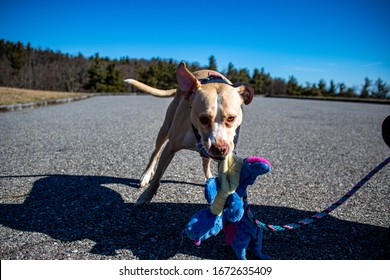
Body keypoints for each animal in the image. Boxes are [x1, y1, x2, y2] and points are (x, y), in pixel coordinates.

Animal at [123, 62, 254, 205]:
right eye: (204, 119)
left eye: (231, 118)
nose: (220, 149)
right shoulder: (170, 148)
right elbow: (158, 176)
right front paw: (147, 195)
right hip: (165, 129)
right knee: (155, 153)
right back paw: (146, 174)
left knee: (205, 162)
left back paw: (209, 178)